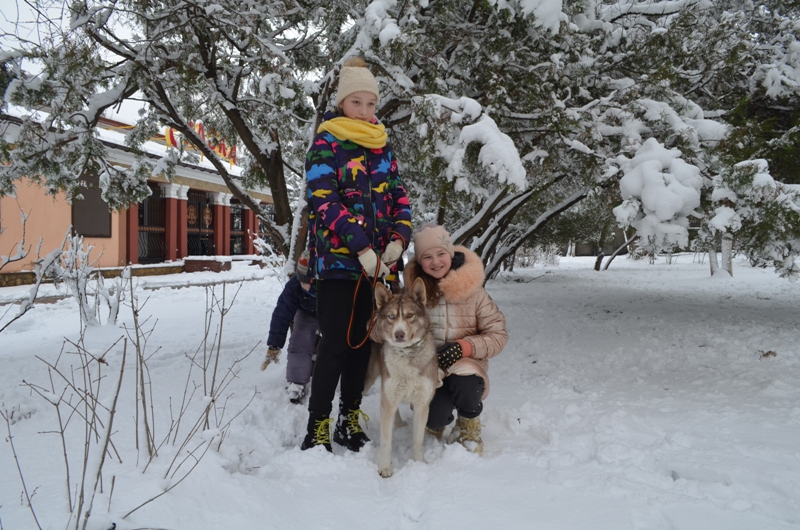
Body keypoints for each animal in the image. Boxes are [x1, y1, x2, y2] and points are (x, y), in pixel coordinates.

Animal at [368, 278, 440, 476]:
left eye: (410, 315)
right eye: (391, 316)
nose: (398, 334)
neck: (408, 355)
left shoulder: (422, 404)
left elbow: (418, 439)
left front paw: (418, 463)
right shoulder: (388, 401)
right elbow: (386, 440)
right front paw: (385, 467)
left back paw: (399, 422)